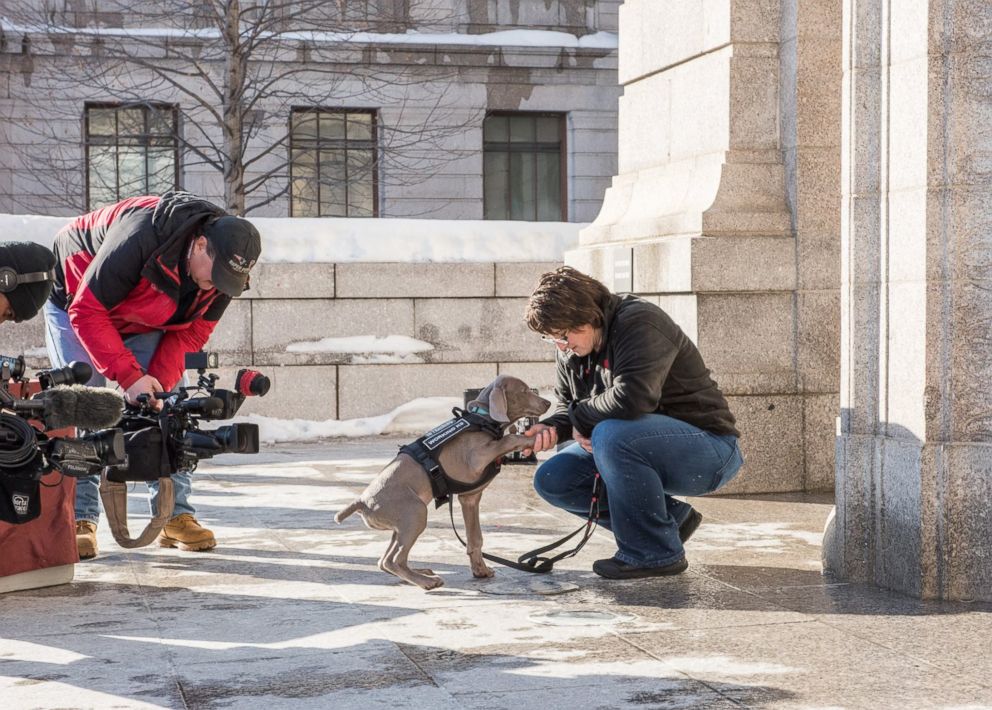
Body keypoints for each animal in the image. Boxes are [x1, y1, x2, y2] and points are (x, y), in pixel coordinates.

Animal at [334, 376, 552, 592]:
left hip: (401, 525)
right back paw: (426, 581)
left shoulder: (470, 498)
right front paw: (534, 437)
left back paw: (420, 572)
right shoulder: (476, 458)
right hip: (415, 512)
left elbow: (475, 539)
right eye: (524, 391)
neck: (483, 419)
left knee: (384, 560)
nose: (548, 403)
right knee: (393, 560)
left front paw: (480, 570)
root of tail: (361, 502)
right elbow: (509, 438)